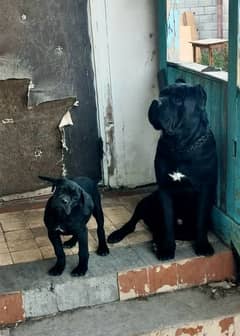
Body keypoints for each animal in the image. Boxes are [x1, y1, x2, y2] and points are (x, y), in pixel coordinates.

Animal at [108, 80, 218, 260]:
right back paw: (120, 234)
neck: (180, 146)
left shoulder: (205, 189)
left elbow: (200, 221)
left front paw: (203, 245)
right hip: (147, 200)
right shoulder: (164, 189)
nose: (156, 102)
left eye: (178, 100)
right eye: (162, 94)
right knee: (134, 222)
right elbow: (167, 221)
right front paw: (167, 248)